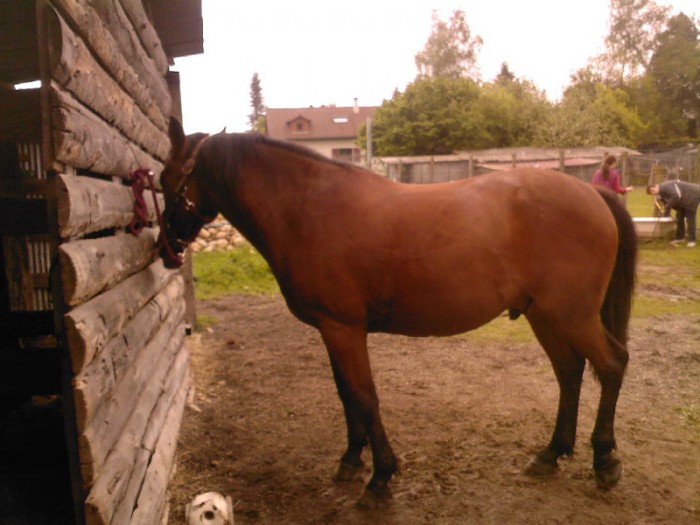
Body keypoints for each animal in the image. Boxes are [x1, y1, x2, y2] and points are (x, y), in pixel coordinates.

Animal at [159, 118, 636, 508]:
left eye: (167, 180)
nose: (166, 249)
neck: (310, 206)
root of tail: (592, 192)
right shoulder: (331, 330)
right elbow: (346, 394)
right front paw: (351, 460)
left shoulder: (344, 329)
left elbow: (365, 396)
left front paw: (380, 479)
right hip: (545, 316)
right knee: (570, 372)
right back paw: (550, 454)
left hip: (573, 316)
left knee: (612, 364)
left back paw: (604, 461)